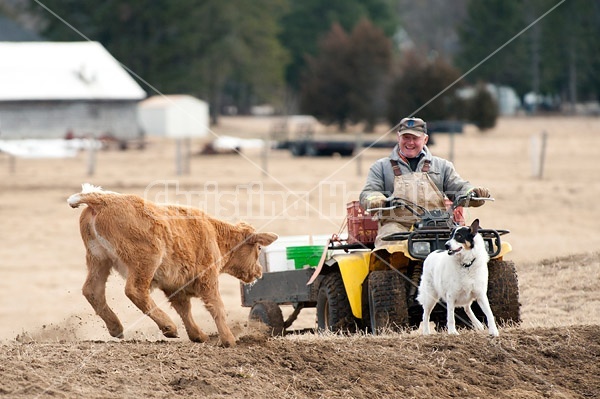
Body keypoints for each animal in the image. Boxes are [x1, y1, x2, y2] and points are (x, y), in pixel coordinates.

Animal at [68, 184, 278, 346]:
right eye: (259, 247)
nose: (259, 272)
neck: (213, 233)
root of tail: (102, 199)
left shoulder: (175, 285)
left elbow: (184, 309)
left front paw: (198, 335)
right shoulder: (208, 278)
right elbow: (216, 306)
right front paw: (228, 340)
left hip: (99, 260)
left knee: (93, 291)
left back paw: (116, 328)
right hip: (145, 261)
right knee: (135, 291)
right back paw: (168, 326)